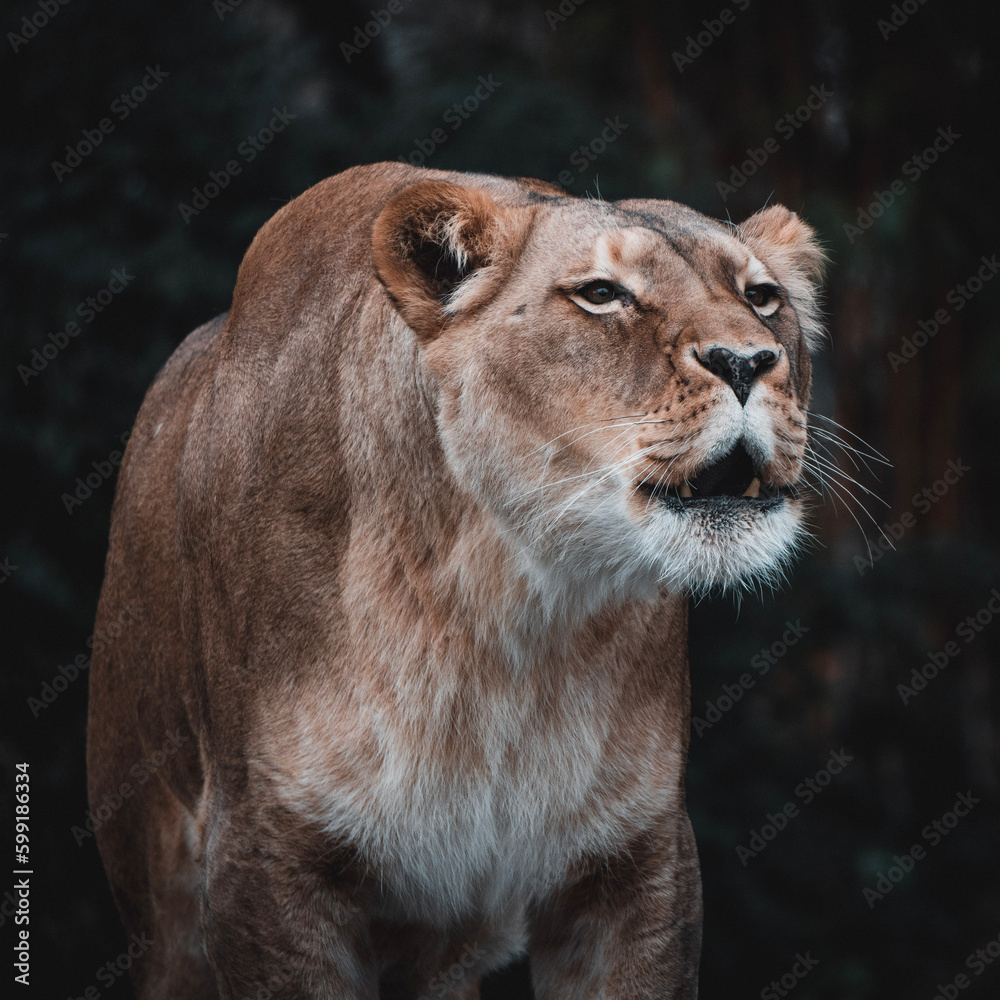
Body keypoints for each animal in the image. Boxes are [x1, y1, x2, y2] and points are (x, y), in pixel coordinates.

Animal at [87, 162, 824, 999]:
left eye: (762, 298)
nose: (747, 361)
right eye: (603, 294)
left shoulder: (640, 862)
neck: (507, 614)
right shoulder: (266, 863)